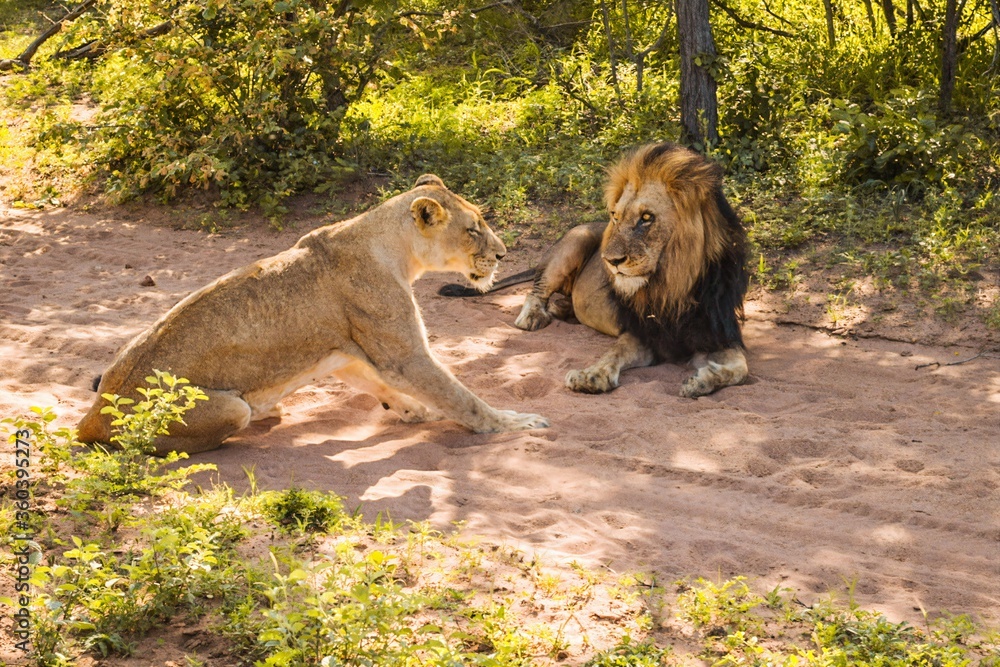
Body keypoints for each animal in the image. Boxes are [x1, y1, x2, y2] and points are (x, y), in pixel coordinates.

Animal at [77, 174, 549, 455]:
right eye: (473, 230)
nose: (503, 254)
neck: (393, 248)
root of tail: (91, 419)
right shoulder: (404, 355)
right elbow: (462, 398)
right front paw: (512, 423)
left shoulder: (345, 353)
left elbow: (384, 388)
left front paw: (417, 411)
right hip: (227, 410)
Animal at [443, 143, 749, 397]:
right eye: (615, 216)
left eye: (646, 218)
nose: (610, 261)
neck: (673, 285)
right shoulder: (640, 333)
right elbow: (613, 354)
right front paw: (591, 377)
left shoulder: (718, 335)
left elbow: (741, 367)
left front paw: (701, 381)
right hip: (575, 240)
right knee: (536, 291)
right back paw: (533, 317)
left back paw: (560, 310)